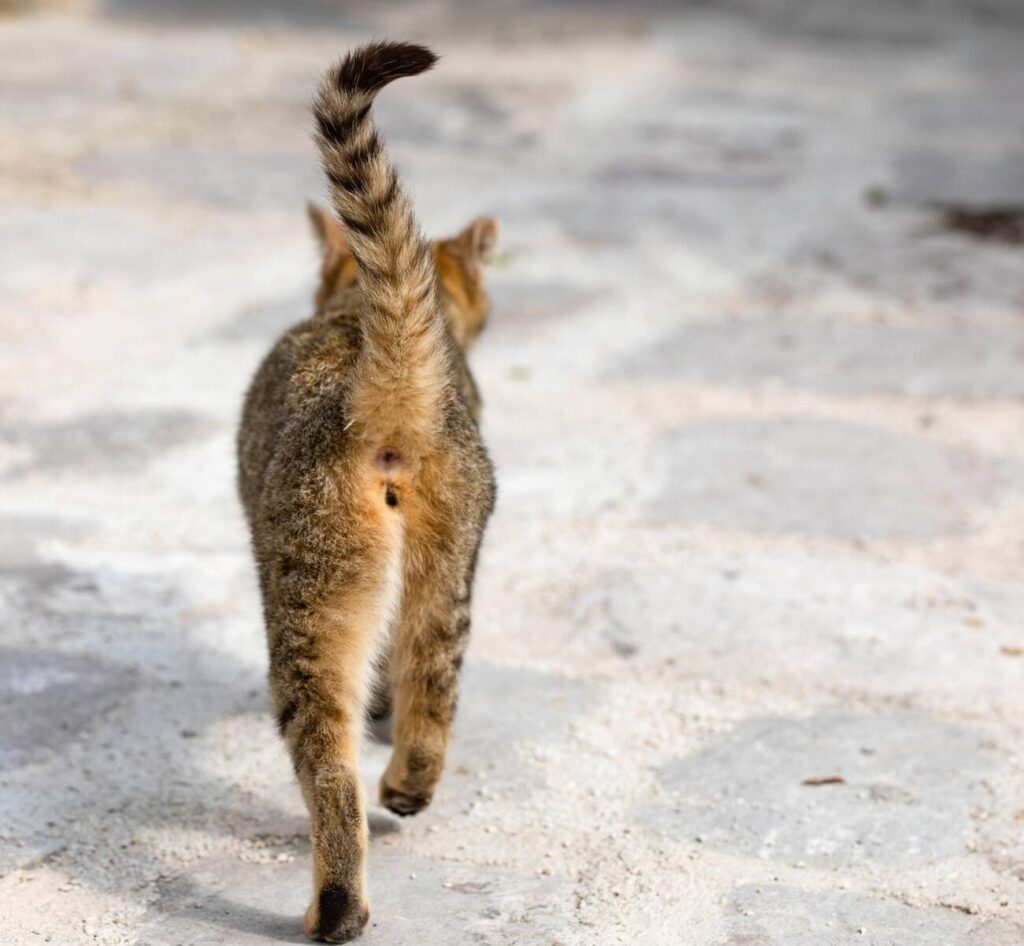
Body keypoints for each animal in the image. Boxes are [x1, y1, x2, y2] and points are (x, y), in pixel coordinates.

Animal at [236, 40, 499, 941]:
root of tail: (376, 396)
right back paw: (408, 789)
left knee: (331, 770)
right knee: (435, 684)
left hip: (309, 597)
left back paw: (338, 907)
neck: (352, 303)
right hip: (447, 565)